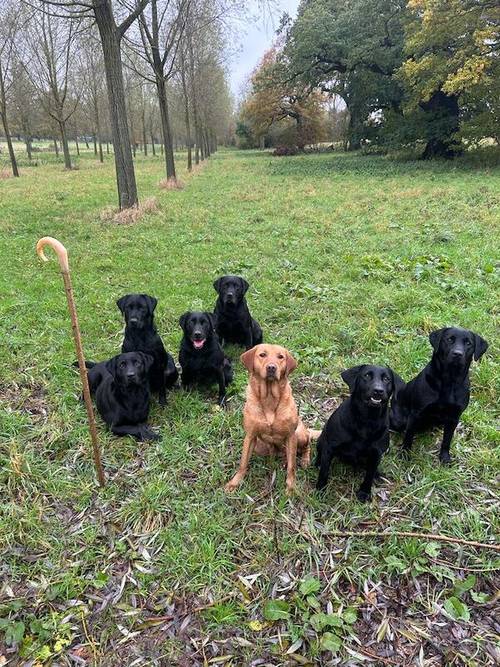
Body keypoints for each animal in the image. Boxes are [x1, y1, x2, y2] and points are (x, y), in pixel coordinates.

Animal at [224, 344, 318, 496]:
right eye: (262, 355)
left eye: (281, 357)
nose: (271, 368)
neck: (269, 398)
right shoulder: (250, 436)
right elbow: (243, 463)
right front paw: (235, 482)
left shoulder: (291, 436)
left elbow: (292, 467)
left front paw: (291, 487)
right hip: (259, 446)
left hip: (299, 434)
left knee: (306, 444)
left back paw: (304, 460)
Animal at [316, 366, 402, 500]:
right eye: (366, 376)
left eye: (387, 379)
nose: (378, 390)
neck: (367, 420)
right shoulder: (330, 447)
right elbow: (324, 471)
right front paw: (320, 489)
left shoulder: (376, 454)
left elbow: (369, 475)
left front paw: (364, 492)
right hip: (321, 441)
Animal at [388, 328, 486, 464]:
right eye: (449, 339)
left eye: (468, 343)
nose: (457, 354)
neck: (449, 381)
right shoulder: (416, 414)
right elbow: (408, 437)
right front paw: (405, 454)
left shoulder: (453, 418)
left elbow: (447, 441)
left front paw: (444, 458)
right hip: (399, 420)